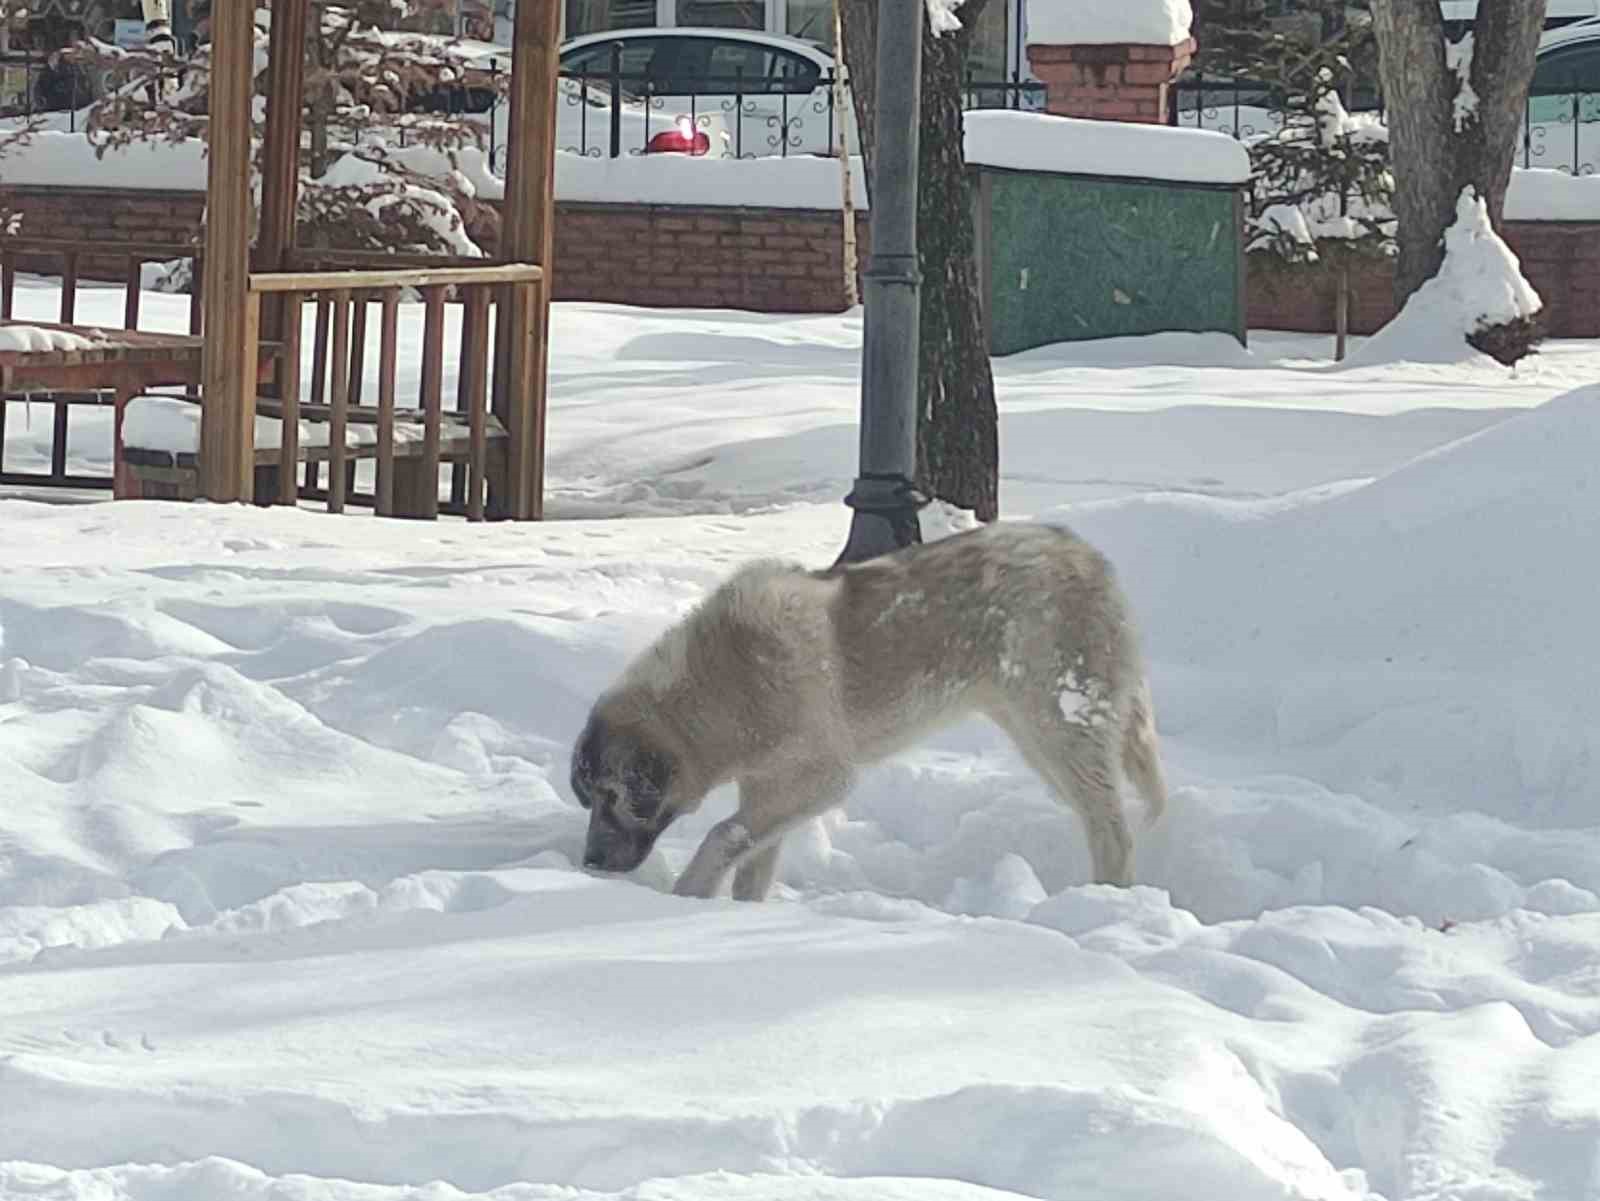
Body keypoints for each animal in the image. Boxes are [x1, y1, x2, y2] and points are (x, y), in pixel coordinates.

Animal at [569, 524, 1171, 901]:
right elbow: (750, 857)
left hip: (1059, 730)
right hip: (1037, 738)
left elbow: (723, 834)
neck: (720, 688)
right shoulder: (768, 788)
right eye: (589, 799)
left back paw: (1102, 904)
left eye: (614, 798)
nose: (590, 864)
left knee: (1111, 830)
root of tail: (1091, 559)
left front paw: (687, 897)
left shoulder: (824, 778)